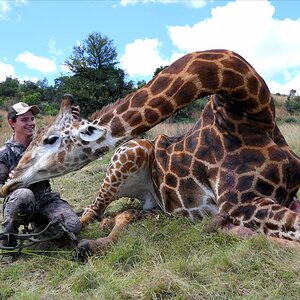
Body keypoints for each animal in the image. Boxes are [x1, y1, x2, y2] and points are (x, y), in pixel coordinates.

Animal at [1, 49, 300, 253]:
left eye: (49, 139)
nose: (10, 180)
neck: (252, 110)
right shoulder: (240, 203)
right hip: (129, 153)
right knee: (87, 215)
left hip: (156, 206)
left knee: (127, 213)